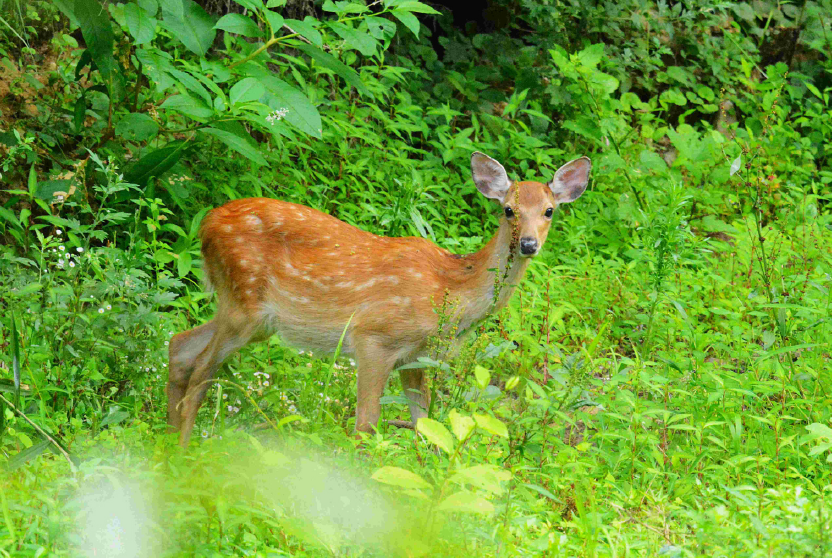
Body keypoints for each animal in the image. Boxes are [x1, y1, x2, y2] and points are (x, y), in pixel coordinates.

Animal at [166, 151, 588, 448]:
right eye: (508, 210)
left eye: (549, 211)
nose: (528, 244)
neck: (451, 290)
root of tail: (206, 224)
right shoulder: (374, 337)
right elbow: (365, 427)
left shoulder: (415, 357)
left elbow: (426, 425)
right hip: (244, 302)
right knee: (200, 370)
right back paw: (183, 455)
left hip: (249, 314)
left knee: (179, 345)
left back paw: (166, 446)